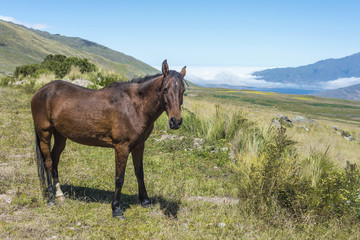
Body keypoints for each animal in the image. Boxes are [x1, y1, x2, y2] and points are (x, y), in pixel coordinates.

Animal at [31, 59, 186, 218]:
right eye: (165, 89)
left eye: (183, 91)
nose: (176, 121)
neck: (134, 107)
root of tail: (41, 91)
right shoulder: (121, 147)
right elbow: (119, 178)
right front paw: (116, 209)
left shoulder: (139, 145)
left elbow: (139, 173)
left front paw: (145, 200)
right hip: (44, 134)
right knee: (48, 162)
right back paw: (51, 198)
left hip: (61, 136)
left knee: (55, 160)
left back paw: (60, 194)